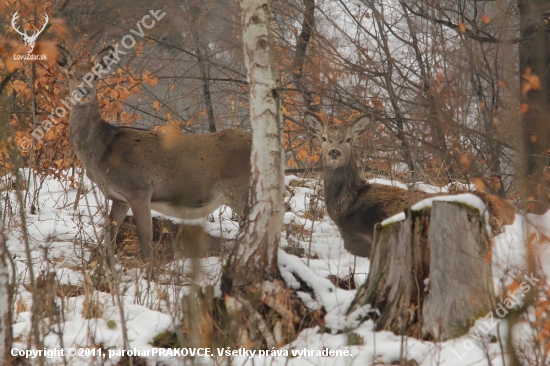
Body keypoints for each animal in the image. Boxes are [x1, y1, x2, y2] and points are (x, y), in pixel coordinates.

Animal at [56, 44, 252, 258]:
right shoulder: (119, 197)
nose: (83, 91)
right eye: (70, 75)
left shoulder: (139, 188)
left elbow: (146, 242)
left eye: (95, 76)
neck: (102, 152)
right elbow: (109, 237)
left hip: (240, 188)